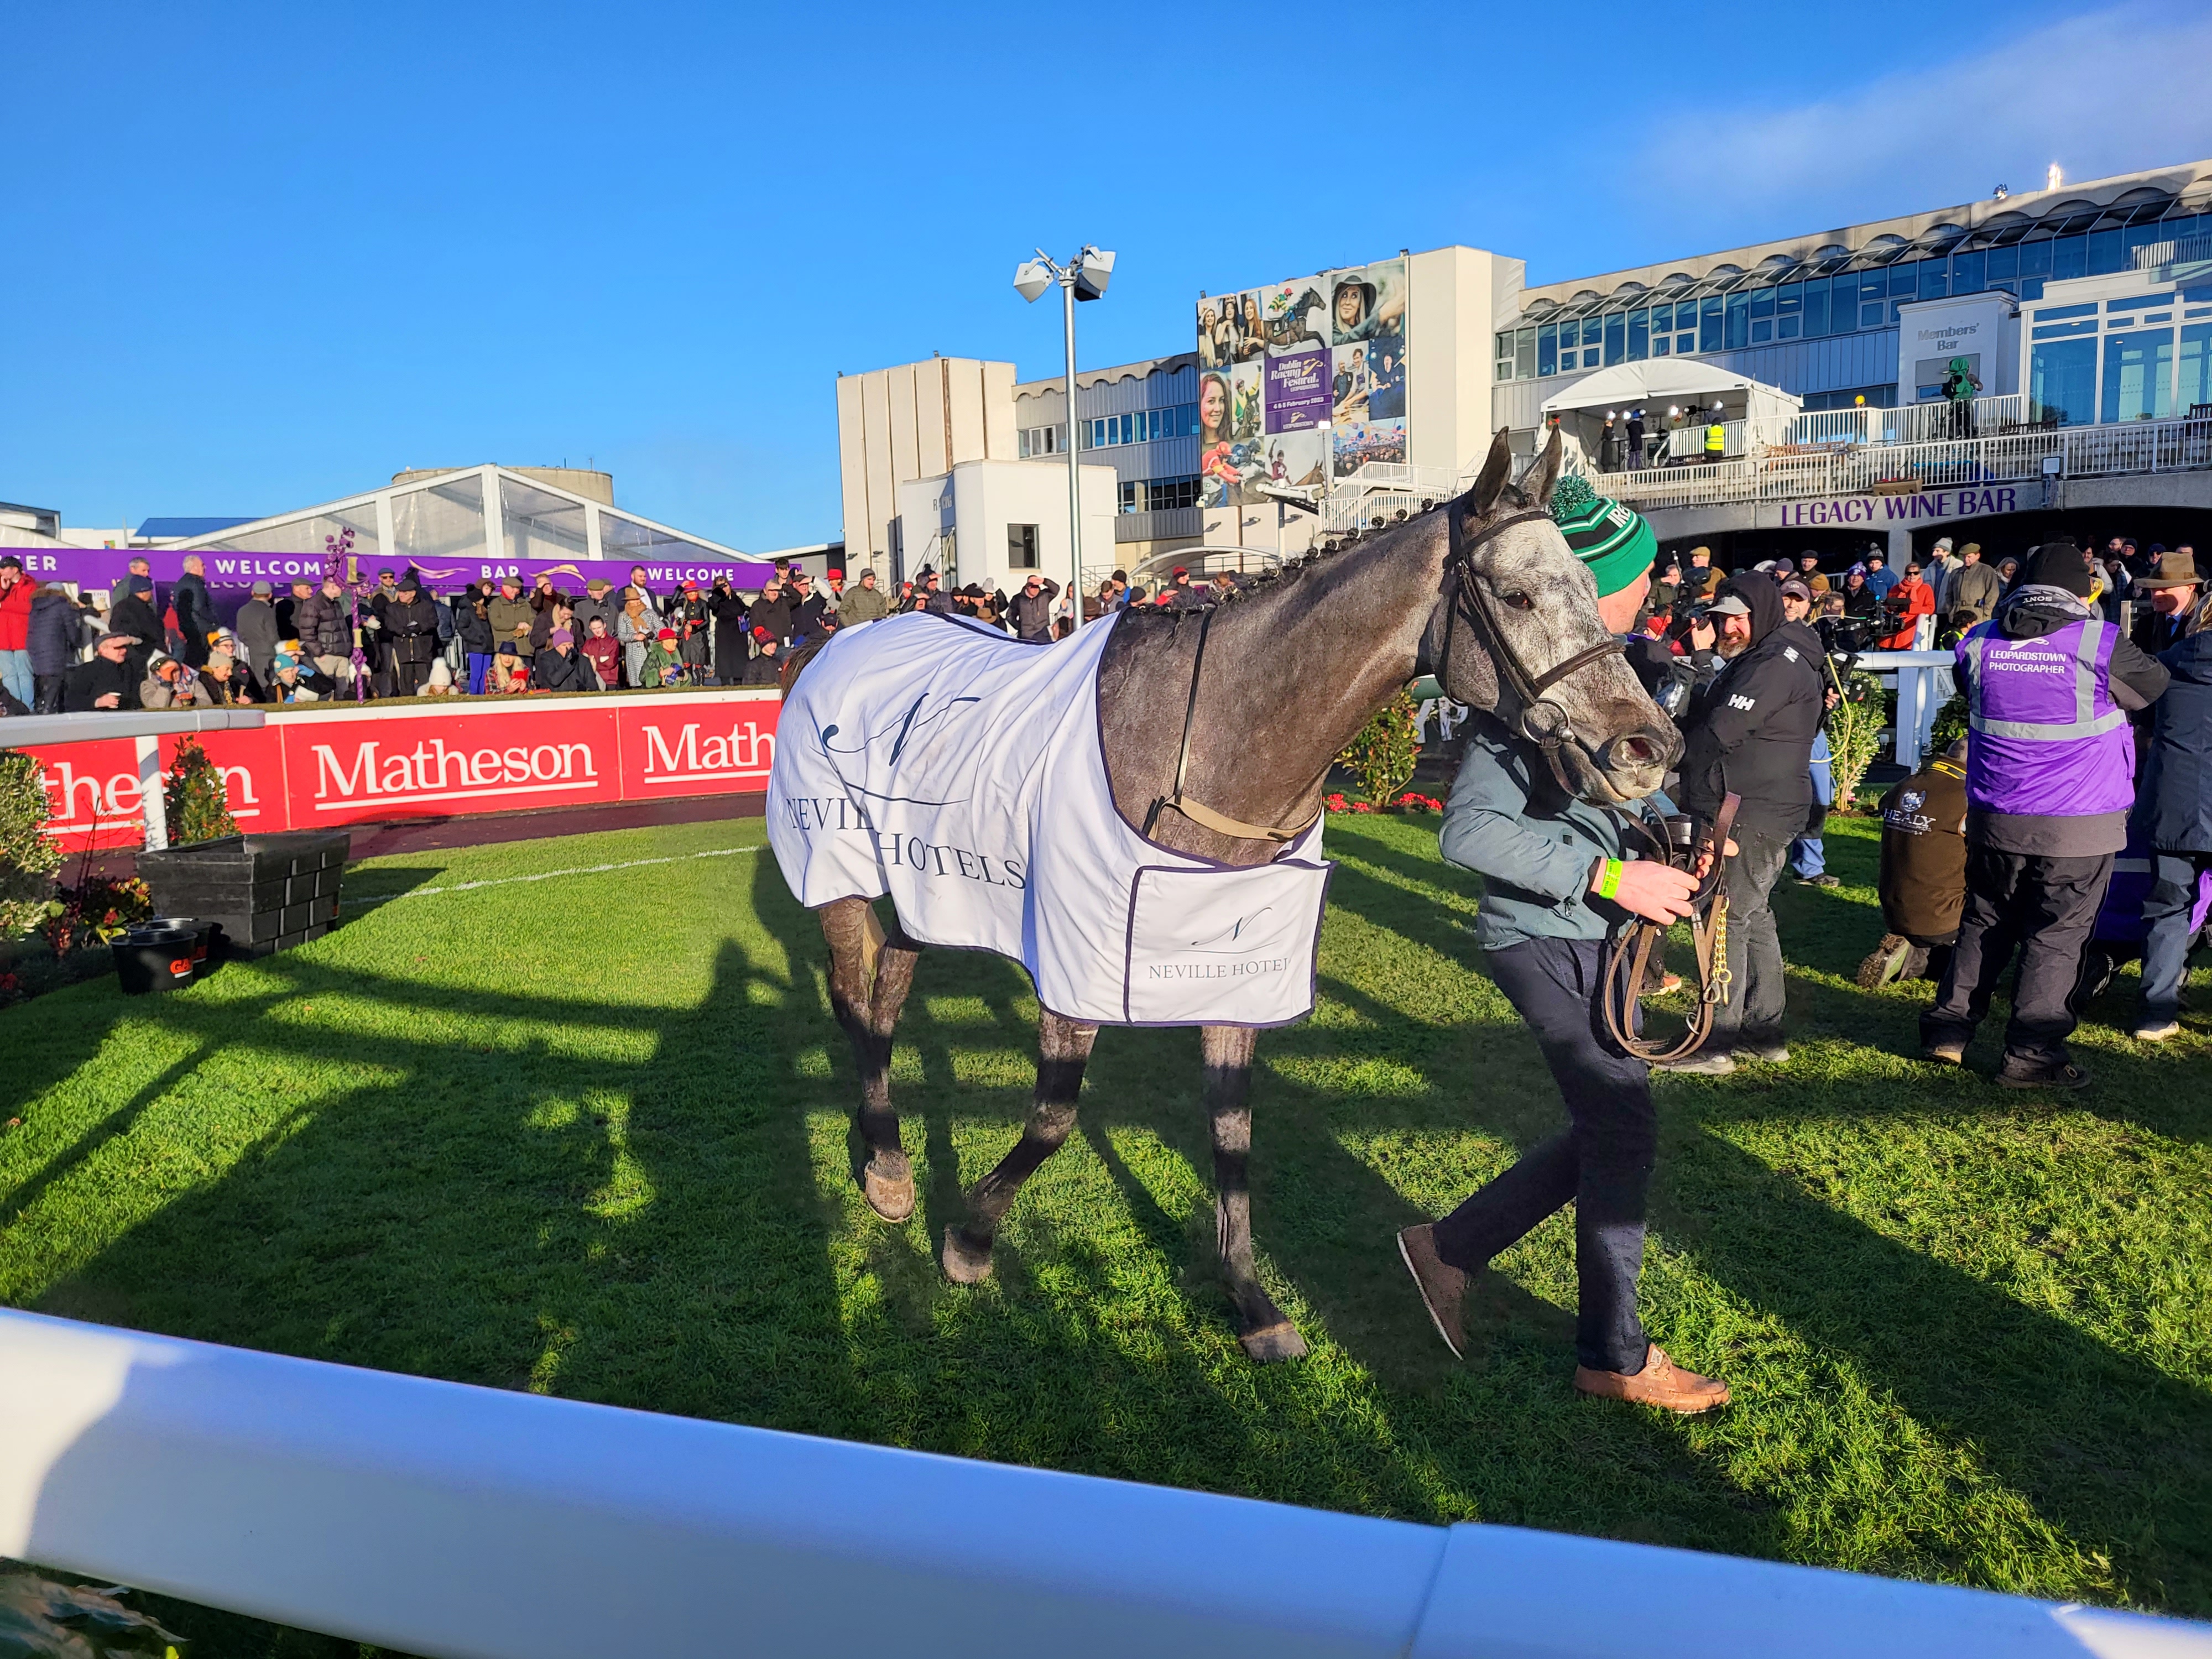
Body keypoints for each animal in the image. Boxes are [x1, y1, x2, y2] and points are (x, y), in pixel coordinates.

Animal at [805, 431, 1663, 1363]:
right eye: (1516, 593)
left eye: (1591, 590)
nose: (1648, 746)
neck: (1205, 750)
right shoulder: (1075, 955)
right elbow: (1054, 1118)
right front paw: (970, 1239)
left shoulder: (1236, 956)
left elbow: (1232, 1129)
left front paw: (1251, 1300)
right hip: (839, 867)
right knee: (854, 993)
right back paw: (885, 1167)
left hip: (934, 886)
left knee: (889, 984)